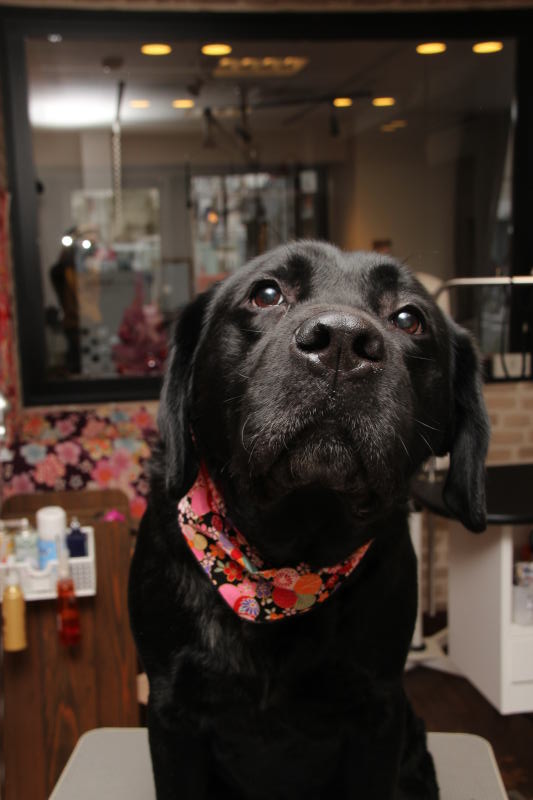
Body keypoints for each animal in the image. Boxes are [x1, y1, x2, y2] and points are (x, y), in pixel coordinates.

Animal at [129, 241, 489, 800]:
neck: (283, 568)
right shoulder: (170, 713)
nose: (342, 340)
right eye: (266, 293)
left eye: (409, 318)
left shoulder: (378, 715)